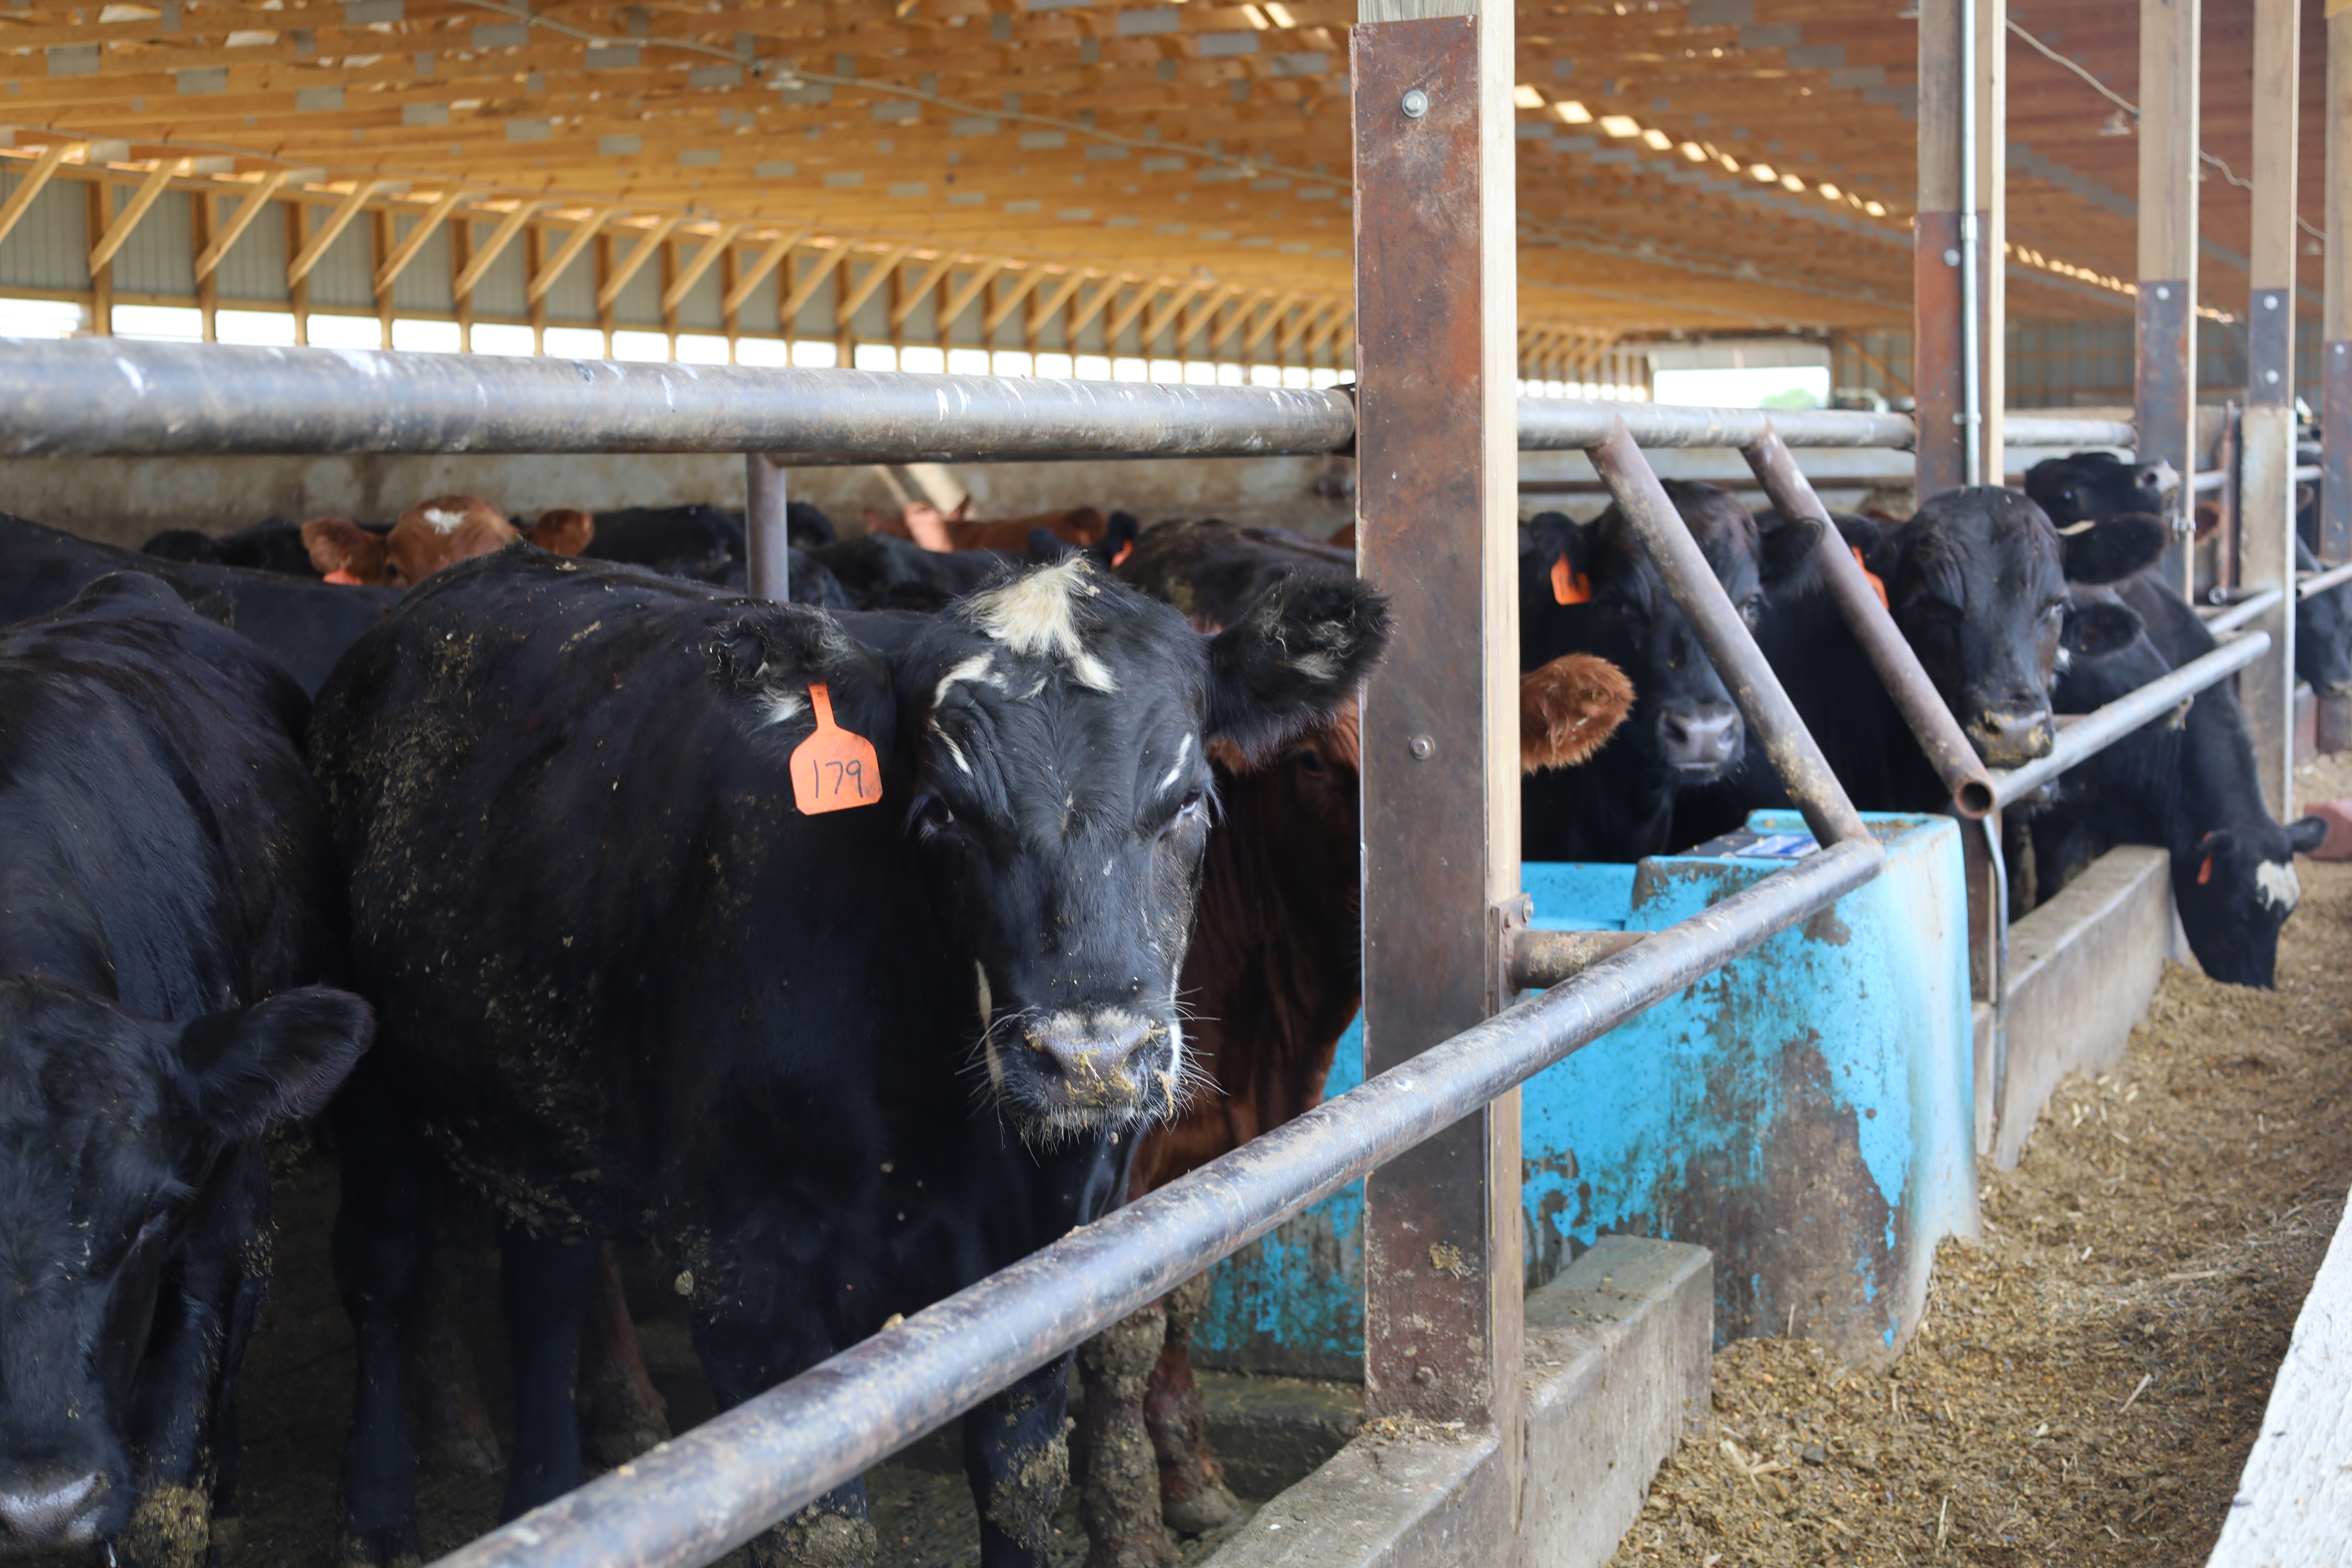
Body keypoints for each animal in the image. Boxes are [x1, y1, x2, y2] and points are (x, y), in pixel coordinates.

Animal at [308, 548, 1389, 1568]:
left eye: (1192, 803)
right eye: (943, 812)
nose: (1092, 1057)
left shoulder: (1048, 1263)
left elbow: (1021, 1489)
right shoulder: (746, 1276)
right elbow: (821, 1527)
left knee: (546, 1284)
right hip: (371, 1082)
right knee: (381, 1266)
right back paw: (378, 1514)